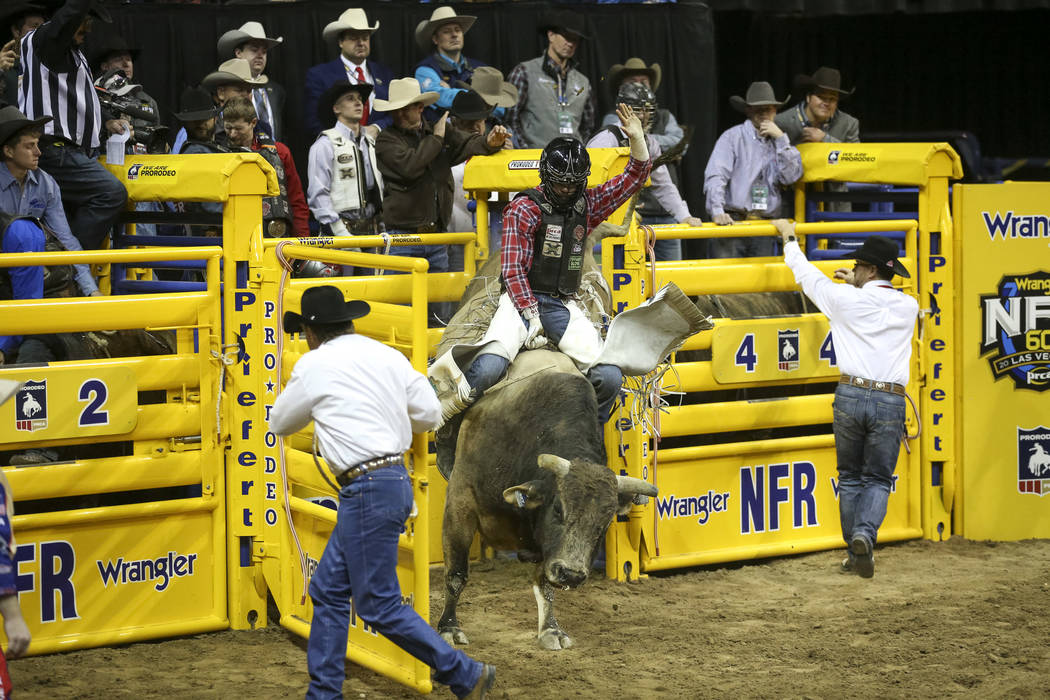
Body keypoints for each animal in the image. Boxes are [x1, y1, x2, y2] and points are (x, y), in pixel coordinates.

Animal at [430, 211, 709, 650]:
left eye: (606, 521)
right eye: (560, 509)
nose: (574, 574)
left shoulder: (545, 543)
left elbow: (543, 581)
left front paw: (552, 630)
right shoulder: (460, 502)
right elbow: (457, 572)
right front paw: (449, 627)